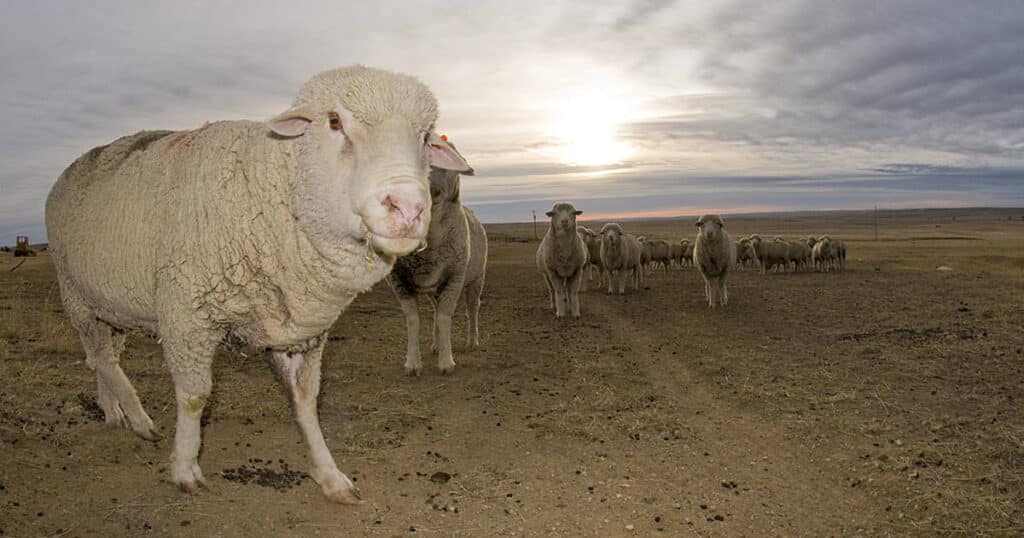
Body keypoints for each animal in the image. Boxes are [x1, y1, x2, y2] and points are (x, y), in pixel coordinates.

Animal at [40, 66, 471, 504]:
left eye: (425, 137)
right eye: (334, 121)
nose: (408, 209)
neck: (276, 195)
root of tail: (74, 165)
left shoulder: (303, 332)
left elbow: (306, 402)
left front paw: (329, 475)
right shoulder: (186, 315)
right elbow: (194, 398)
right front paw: (185, 467)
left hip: (109, 306)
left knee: (101, 357)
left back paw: (113, 411)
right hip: (74, 292)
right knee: (105, 359)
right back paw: (139, 418)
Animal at [389, 145, 489, 373]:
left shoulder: (454, 278)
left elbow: (444, 319)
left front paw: (446, 363)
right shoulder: (400, 281)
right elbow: (413, 321)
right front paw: (413, 363)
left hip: (476, 278)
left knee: (472, 309)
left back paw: (472, 341)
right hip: (434, 288)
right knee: (435, 311)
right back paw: (435, 345)